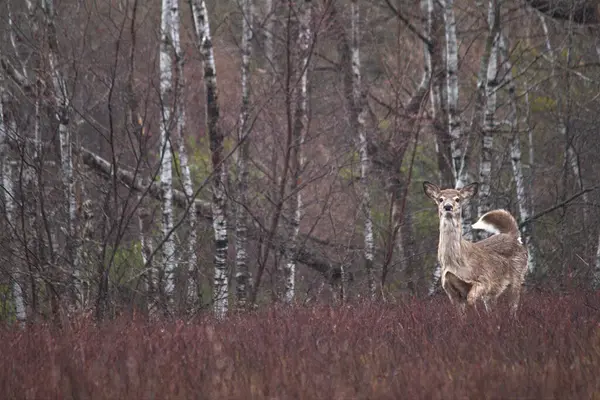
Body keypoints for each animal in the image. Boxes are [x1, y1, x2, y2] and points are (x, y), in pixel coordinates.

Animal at [424, 183, 528, 318]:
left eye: (457, 199)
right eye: (440, 199)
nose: (448, 206)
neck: (455, 262)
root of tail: (512, 235)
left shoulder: (483, 280)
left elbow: (471, 299)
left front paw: (477, 318)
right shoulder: (450, 291)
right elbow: (460, 315)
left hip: (517, 276)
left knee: (513, 306)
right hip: (493, 292)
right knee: (493, 308)